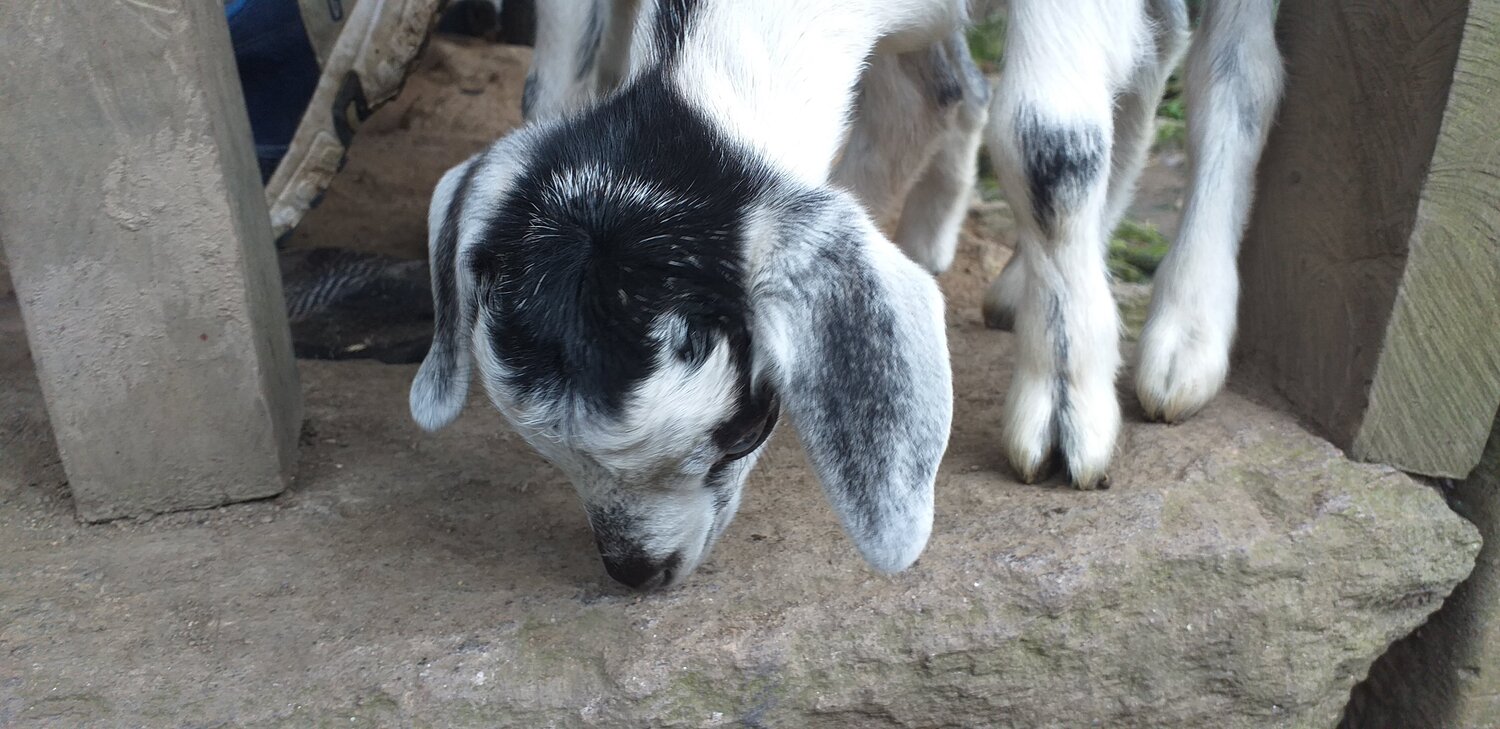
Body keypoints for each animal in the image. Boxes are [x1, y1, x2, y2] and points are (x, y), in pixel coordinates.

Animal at [410, 0, 1282, 589]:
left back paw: (1183, 333)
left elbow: (1047, 143)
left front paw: (1068, 412)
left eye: (747, 429)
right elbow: (548, 84)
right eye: (544, 449)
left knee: (1237, 70)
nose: (637, 568)